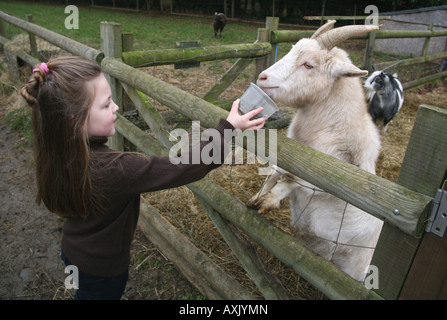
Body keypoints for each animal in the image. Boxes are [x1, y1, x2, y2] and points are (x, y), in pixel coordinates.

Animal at [252, 20, 384, 280]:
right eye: (293, 50)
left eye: (308, 64)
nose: (262, 77)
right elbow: (276, 172)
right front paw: (258, 195)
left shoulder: (332, 178)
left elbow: (293, 179)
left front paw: (269, 200)